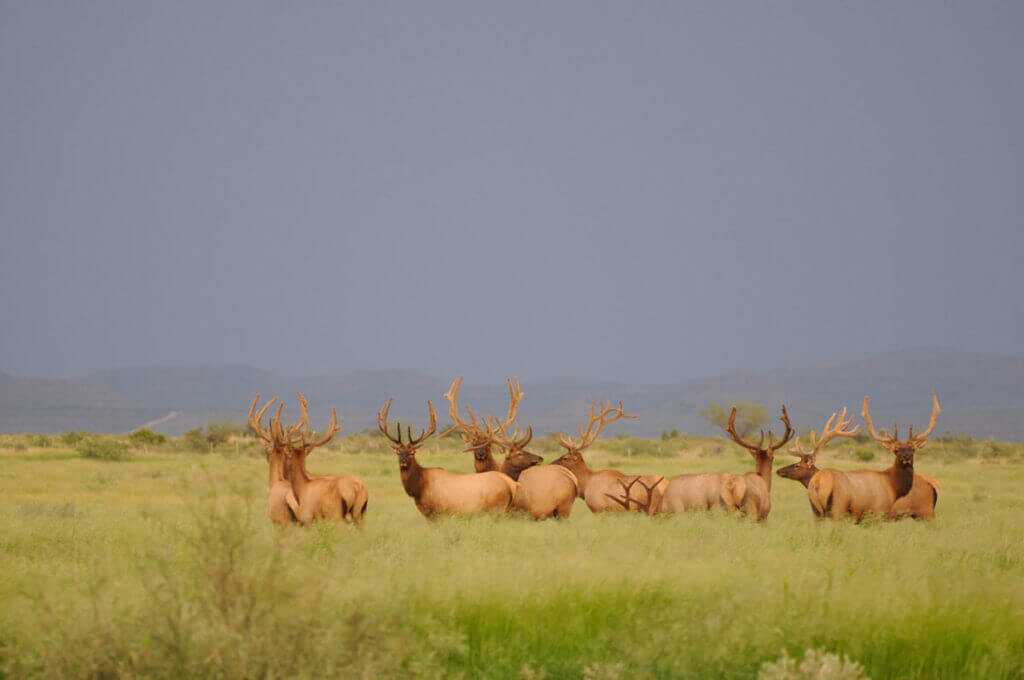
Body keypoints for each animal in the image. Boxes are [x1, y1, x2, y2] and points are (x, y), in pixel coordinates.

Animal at [281, 393, 368, 525]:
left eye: (286, 457)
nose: (283, 473)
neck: (302, 489)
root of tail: (357, 488)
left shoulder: (307, 518)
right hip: (359, 513)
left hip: (336, 515)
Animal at [378, 399, 520, 518]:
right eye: (398, 452)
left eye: (412, 452)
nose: (403, 461)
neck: (419, 488)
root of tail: (512, 485)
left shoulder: (438, 513)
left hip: (497, 509)